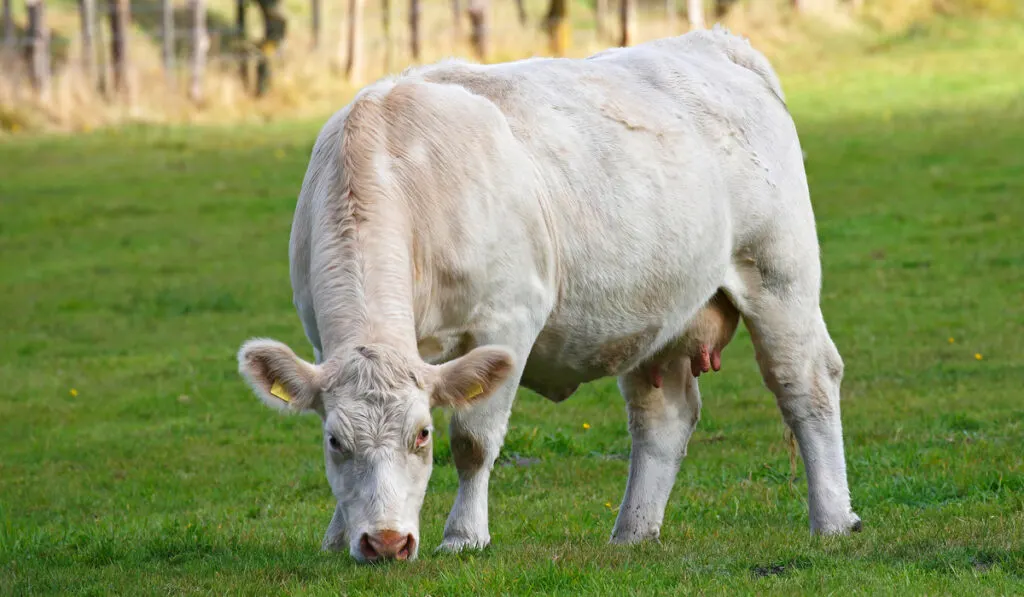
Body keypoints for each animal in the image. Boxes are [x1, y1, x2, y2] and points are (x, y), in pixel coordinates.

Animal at [235, 24, 860, 565]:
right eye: (335, 441)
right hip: (658, 311)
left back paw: (832, 518)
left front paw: (463, 536)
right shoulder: (323, 340)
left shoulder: (506, 321)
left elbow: (475, 441)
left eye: (422, 435)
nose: (386, 543)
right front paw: (338, 537)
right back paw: (633, 531)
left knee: (805, 385)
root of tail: (714, 43)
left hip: (780, 275)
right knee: (663, 417)